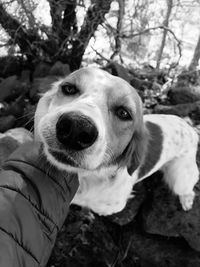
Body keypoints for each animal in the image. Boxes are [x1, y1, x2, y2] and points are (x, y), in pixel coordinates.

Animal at [35, 68, 199, 217]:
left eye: (123, 113)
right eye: (69, 88)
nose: (77, 128)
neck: (89, 177)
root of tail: (190, 128)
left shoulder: (111, 207)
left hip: (180, 177)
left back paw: (187, 199)